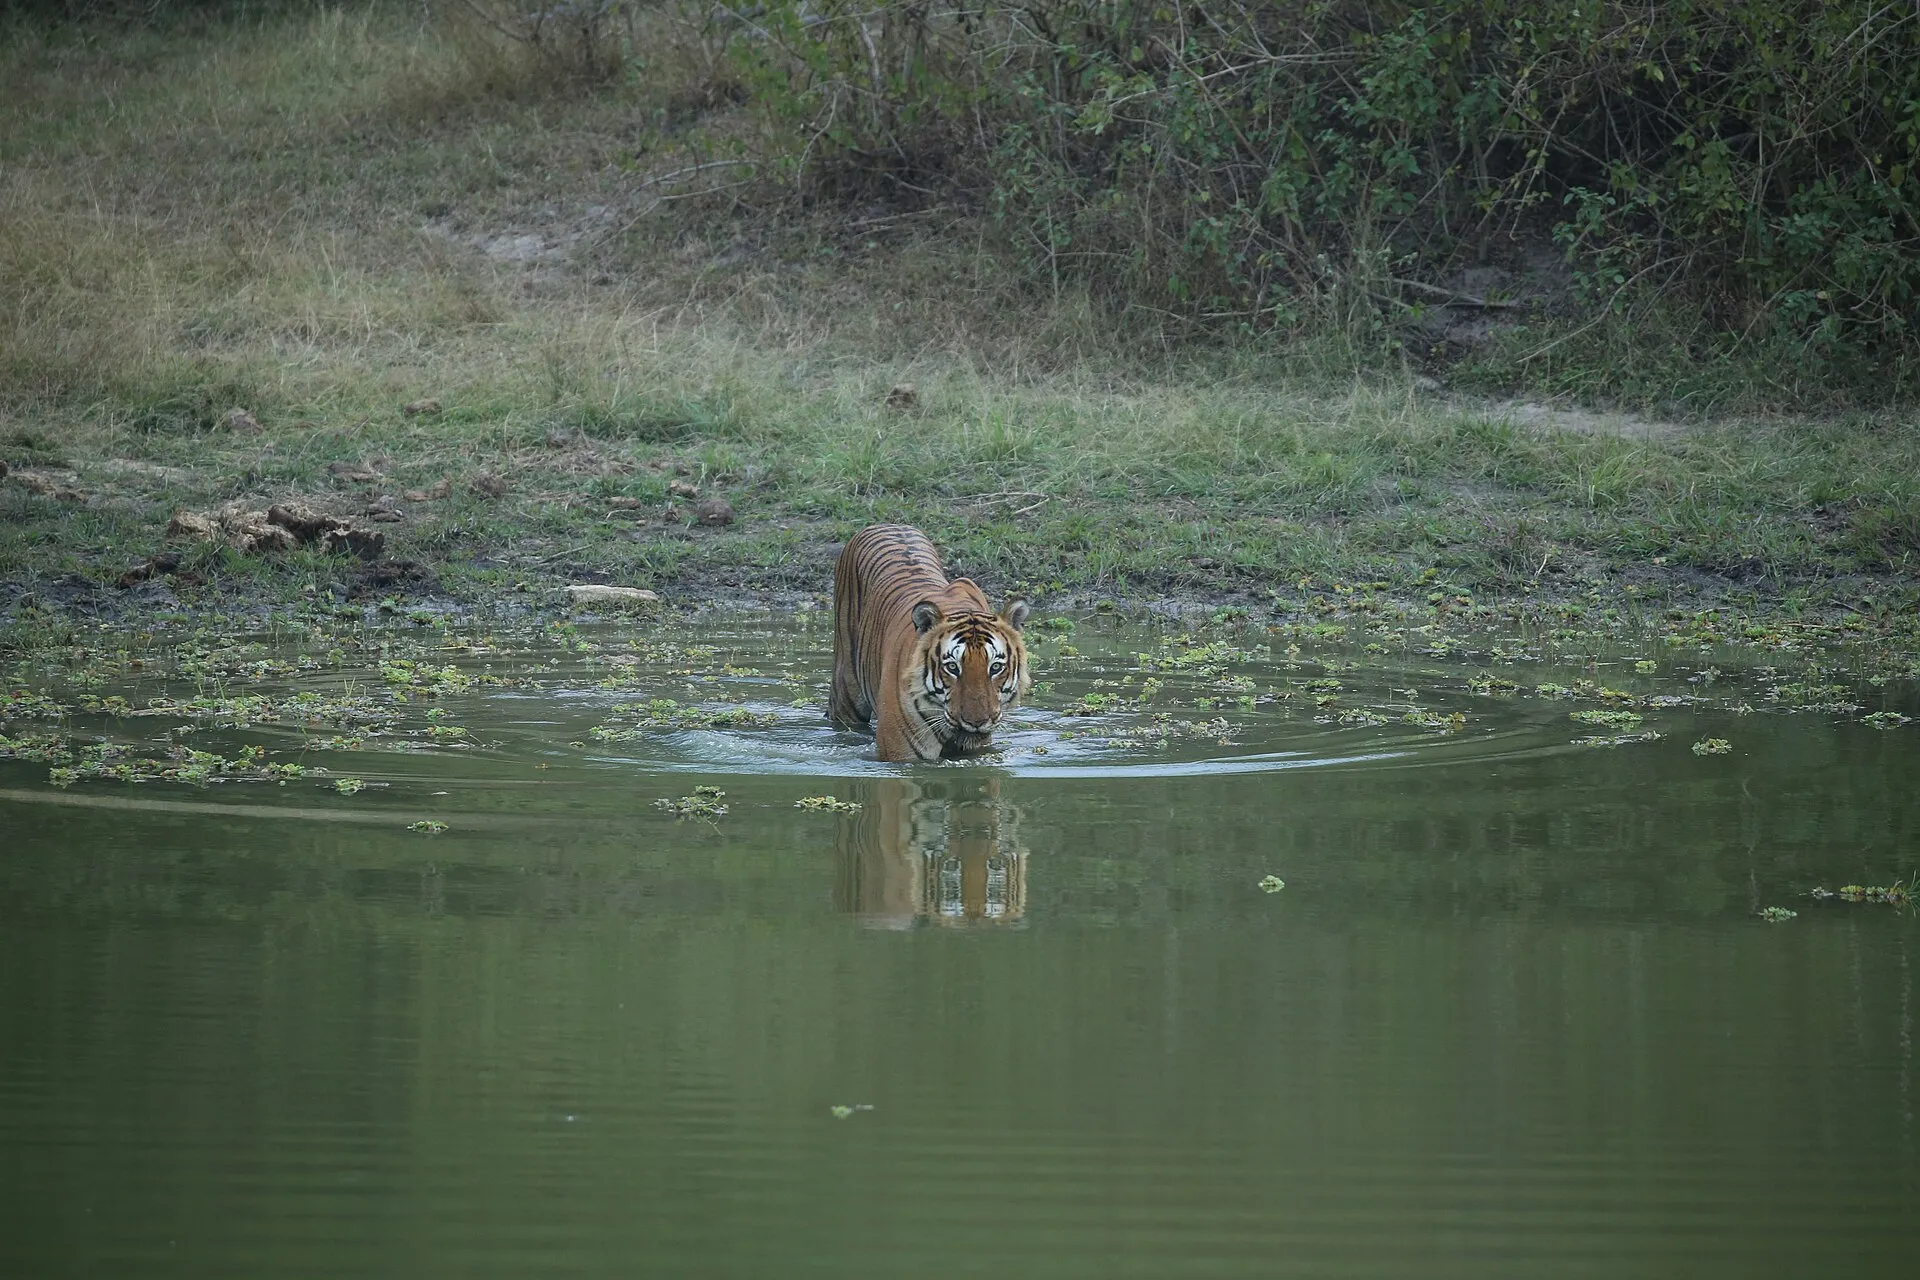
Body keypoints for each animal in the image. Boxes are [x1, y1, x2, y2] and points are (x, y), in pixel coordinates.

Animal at [828, 524, 1031, 762]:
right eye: (952, 667)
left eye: (996, 667)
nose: (976, 723)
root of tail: (889, 524)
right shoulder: (899, 754)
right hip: (846, 693)